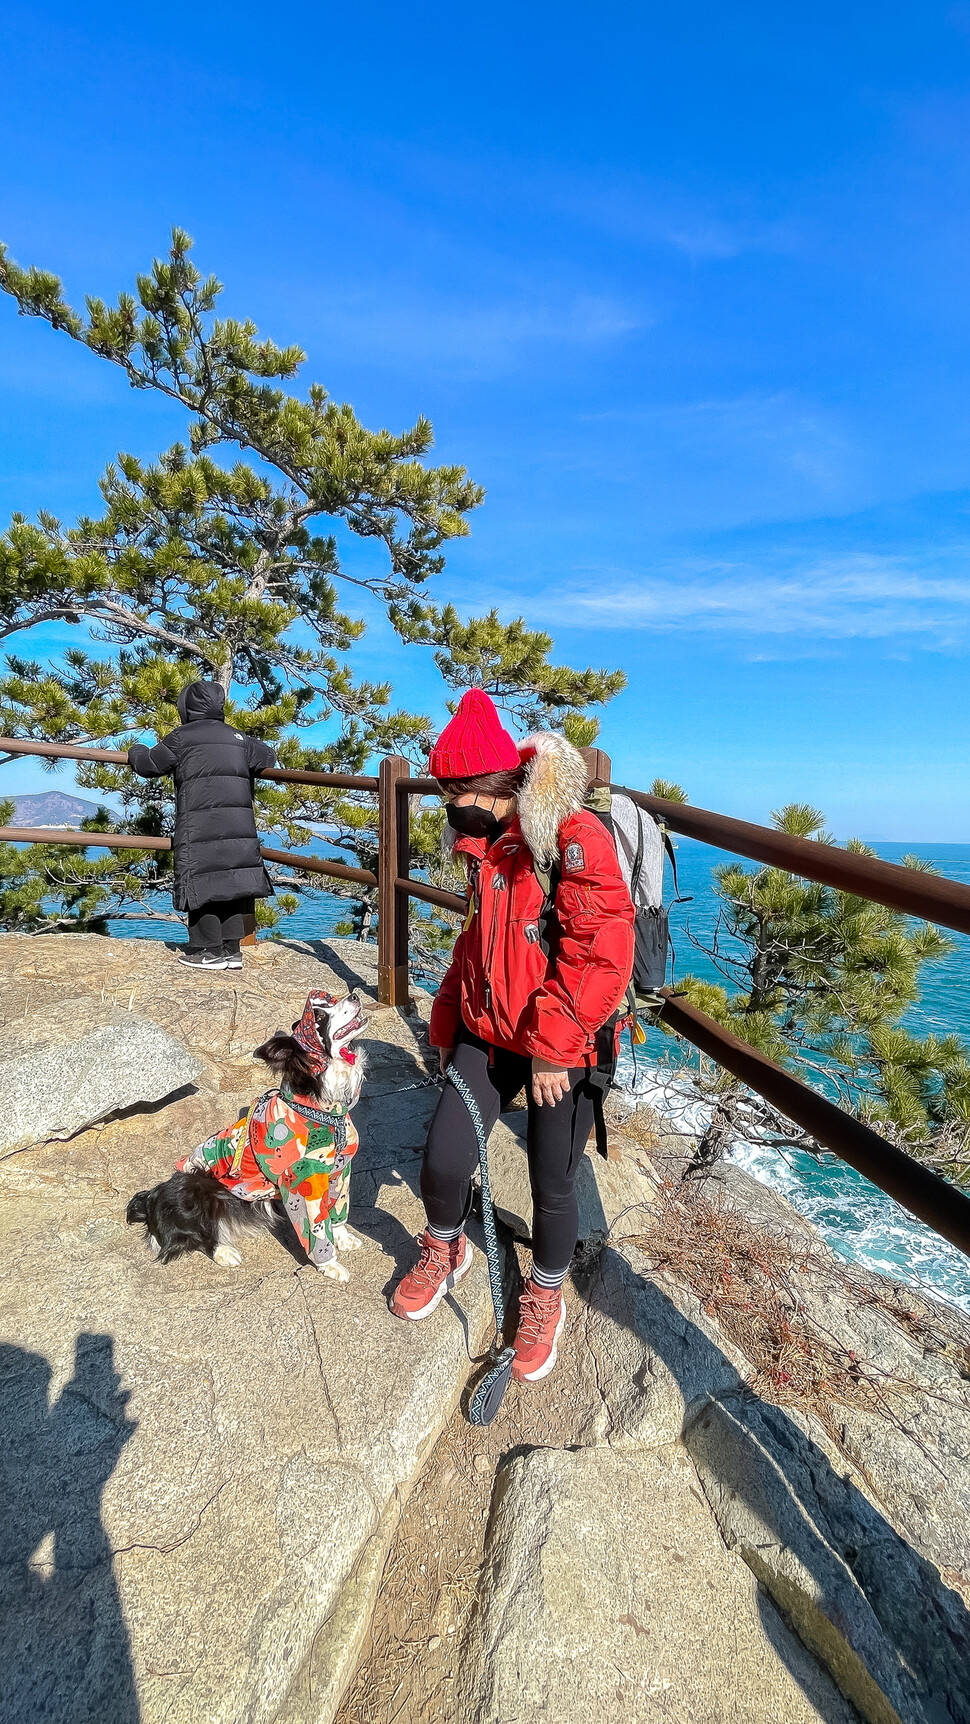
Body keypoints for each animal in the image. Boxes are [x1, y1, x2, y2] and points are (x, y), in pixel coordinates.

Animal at [128, 993, 368, 1289]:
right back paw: (224, 1252)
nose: (354, 994)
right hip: (195, 1185)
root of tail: (150, 1199)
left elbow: (337, 1211)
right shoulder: (302, 1184)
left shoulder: (340, 1172)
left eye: (331, 1001)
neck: (323, 1109)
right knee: (195, 1235)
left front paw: (344, 1238)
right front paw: (331, 1266)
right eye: (321, 1016)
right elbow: (316, 1228)